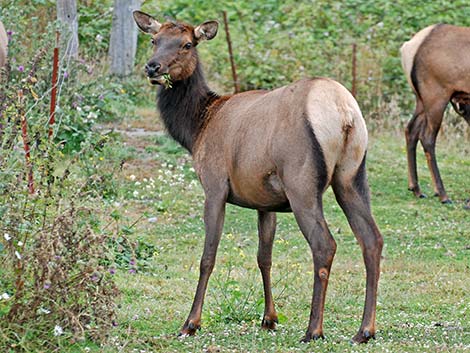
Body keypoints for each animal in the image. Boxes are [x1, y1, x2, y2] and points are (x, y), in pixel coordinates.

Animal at [134, 9, 384, 342]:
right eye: (154, 40)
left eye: (187, 44)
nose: (153, 66)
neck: (197, 128)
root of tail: (344, 112)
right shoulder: (265, 201)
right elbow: (264, 257)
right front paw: (269, 318)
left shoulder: (214, 186)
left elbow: (207, 257)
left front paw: (191, 322)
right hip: (352, 175)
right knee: (372, 239)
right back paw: (364, 329)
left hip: (301, 181)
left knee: (324, 244)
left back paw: (313, 329)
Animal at [400, 24, 470, 204]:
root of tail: (409, 47)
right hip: (436, 95)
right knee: (427, 137)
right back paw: (443, 194)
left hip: (421, 98)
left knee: (410, 129)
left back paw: (416, 188)